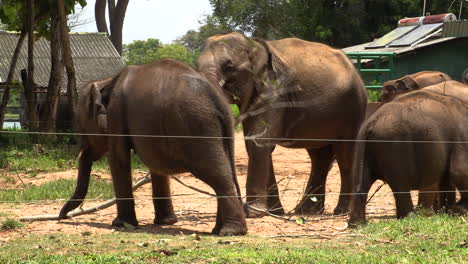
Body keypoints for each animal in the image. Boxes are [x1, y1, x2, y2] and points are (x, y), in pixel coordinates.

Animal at [58, 58, 247, 235]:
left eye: (82, 127)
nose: (62, 217)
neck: (107, 80)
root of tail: (217, 98)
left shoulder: (116, 114)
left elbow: (119, 158)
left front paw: (120, 224)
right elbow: (155, 163)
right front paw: (166, 222)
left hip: (197, 128)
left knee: (217, 173)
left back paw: (231, 231)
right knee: (225, 169)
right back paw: (218, 230)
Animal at [196, 32, 368, 217]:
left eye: (229, 66)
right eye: (196, 65)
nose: (240, 204)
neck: (253, 44)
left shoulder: (275, 92)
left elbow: (258, 142)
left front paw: (255, 213)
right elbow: (256, 143)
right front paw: (275, 212)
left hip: (354, 106)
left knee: (345, 153)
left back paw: (341, 212)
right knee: (319, 155)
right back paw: (306, 211)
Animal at [350, 81, 468, 227]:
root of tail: (371, 123)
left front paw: (448, 210)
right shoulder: (462, 136)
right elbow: (459, 171)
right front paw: (458, 209)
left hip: (363, 147)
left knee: (361, 182)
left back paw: (357, 224)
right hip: (395, 147)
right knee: (400, 185)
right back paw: (410, 217)